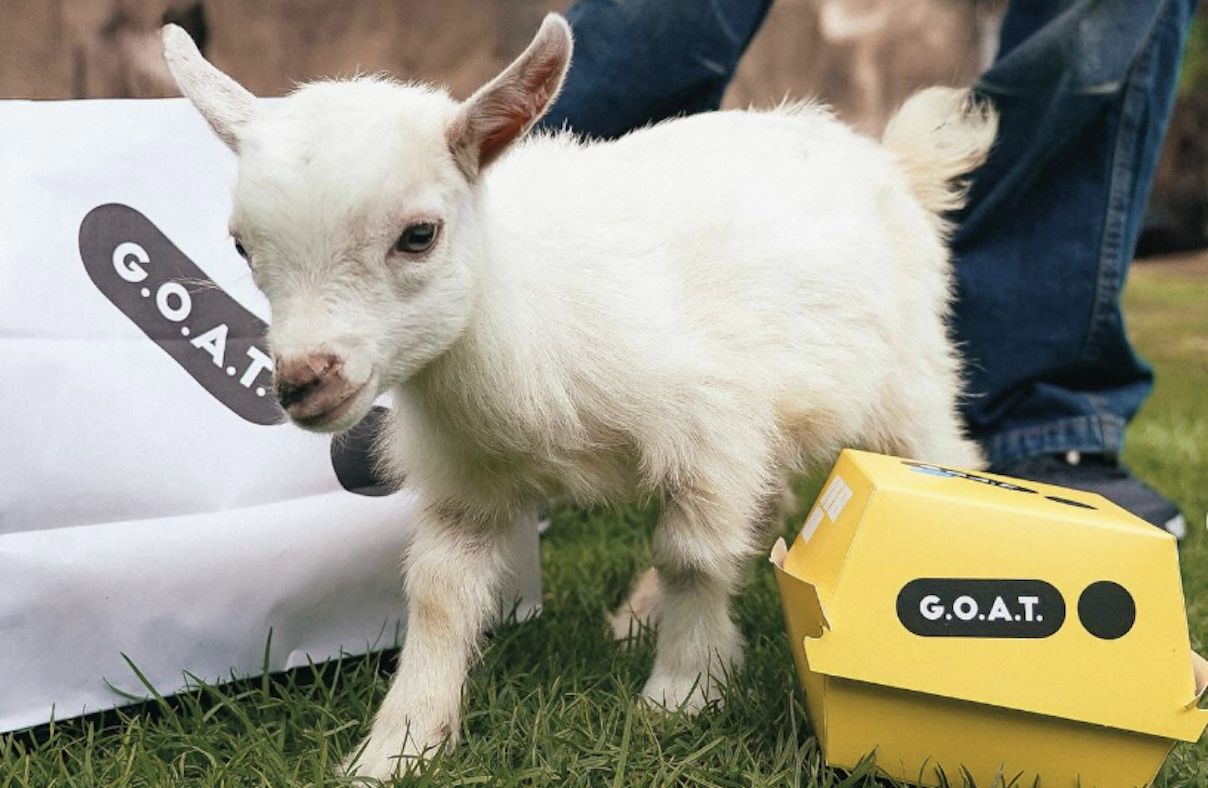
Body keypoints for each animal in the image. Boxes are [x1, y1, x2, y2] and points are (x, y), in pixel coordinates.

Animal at [162, 14, 995, 780]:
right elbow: (438, 593)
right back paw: (638, 615)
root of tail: (892, 160)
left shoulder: (711, 427)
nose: (305, 380)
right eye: (241, 245)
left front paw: (682, 693)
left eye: (420, 234)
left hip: (909, 381)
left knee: (940, 455)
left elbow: (692, 554)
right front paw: (398, 745)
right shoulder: (467, 476)